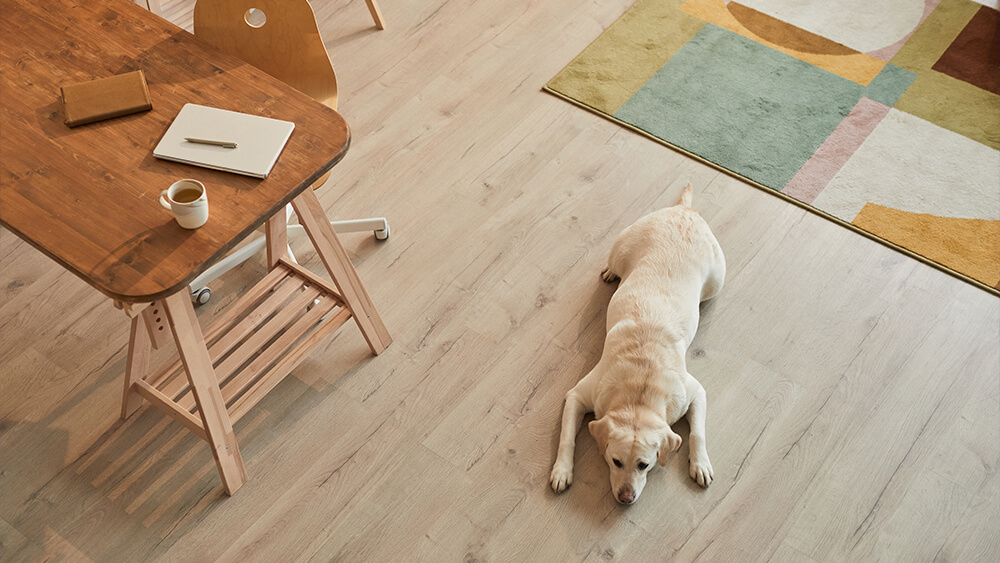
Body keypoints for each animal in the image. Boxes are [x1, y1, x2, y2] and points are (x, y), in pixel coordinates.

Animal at [552, 185, 724, 506]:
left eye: (645, 464)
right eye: (615, 461)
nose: (625, 498)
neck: (640, 389)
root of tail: (684, 210)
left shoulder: (695, 392)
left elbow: (698, 433)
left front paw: (701, 464)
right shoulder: (577, 396)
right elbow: (566, 437)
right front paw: (561, 471)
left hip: (717, 280)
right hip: (621, 248)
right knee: (613, 263)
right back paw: (610, 272)